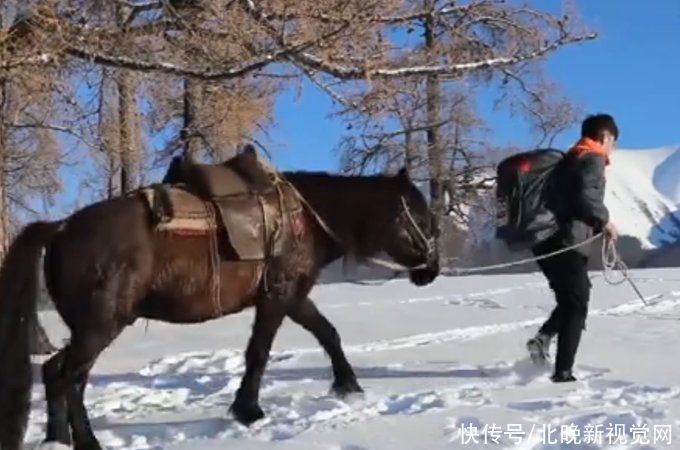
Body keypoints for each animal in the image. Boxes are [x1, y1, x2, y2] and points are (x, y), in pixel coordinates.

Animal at [0, 168, 438, 450]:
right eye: (418, 214)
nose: (431, 271)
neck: (305, 219)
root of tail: (60, 227)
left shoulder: (294, 296)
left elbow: (327, 333)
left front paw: (348, 386)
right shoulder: (277, 297)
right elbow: (259, 352)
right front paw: (249, 410)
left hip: (89, 328)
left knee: (57, 373)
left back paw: (58, 439)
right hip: (100, 324)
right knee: (67, 376)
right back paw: (88, 443)